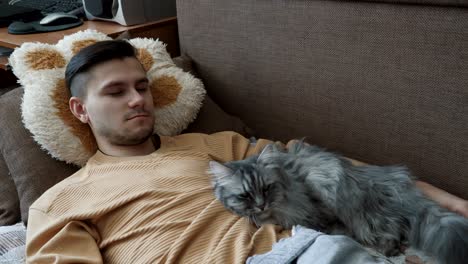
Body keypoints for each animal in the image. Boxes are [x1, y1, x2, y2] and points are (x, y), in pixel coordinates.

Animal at [208, 141, 468, 264]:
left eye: (266, 188)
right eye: (245, 196)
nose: (261, 205)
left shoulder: (317, 206)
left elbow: (325, 225)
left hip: (357, 207)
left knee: (387, 229)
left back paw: (388, 247)